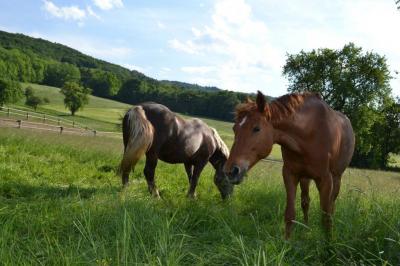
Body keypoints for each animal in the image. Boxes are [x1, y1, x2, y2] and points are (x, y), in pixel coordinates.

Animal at [223, 91, 354, 239]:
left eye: (256, 128)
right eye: (234, 128)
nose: (230, 171)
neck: (309, 132)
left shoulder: (325, 179)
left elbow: (326, 216)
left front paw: (328, 242)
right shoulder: (290, 174)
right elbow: (290, 214)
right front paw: (287, 241)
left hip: (337, 178)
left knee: (331, 205)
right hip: (305, 178)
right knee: (305, 201)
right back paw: (306, 228)